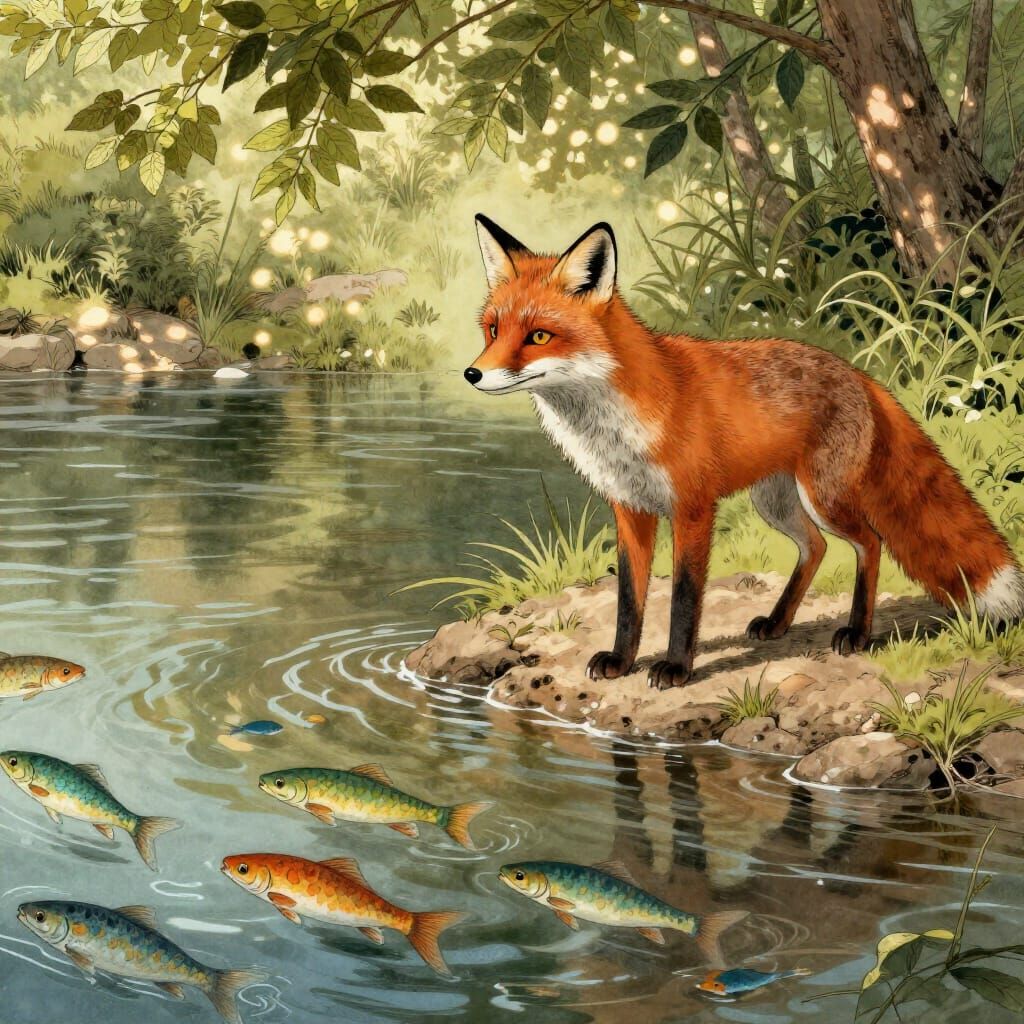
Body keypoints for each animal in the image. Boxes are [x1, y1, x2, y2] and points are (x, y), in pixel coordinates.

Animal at [463, 214, 1024, 690]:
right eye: (493, 330)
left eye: (539, 336)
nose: (472, 373)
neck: (614, 423)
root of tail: (857, 373)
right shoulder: (630, 508)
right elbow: (629, 600)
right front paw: (622, 660)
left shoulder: (692, 508)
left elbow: (685, 599)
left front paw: (676, 667)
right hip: (774, 502)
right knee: (815, 548)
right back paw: (777, 623)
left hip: (824, 497)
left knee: (869, 542)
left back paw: (858, 633)